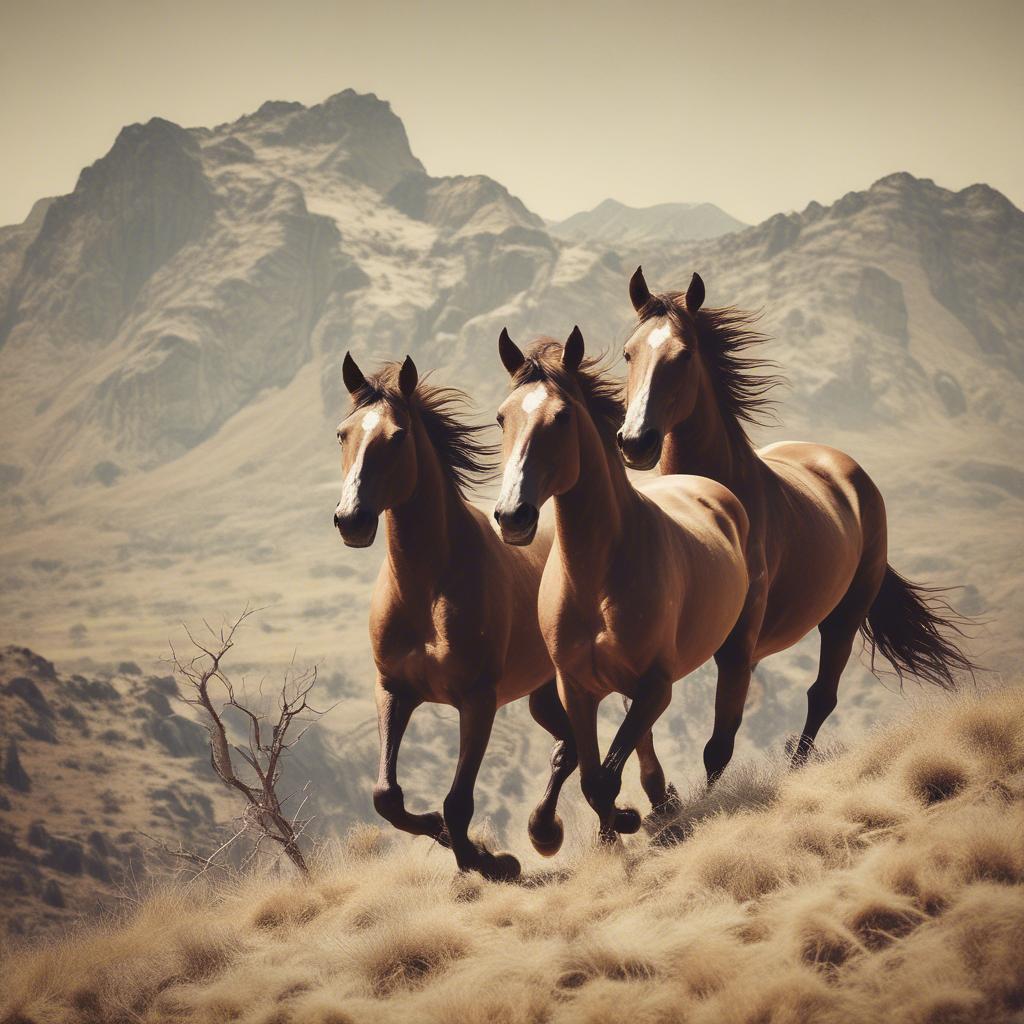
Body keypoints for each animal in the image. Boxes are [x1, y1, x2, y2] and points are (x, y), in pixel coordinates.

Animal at [333, 352, 626, 878]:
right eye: (344, 434)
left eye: (397, 436)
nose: (351, 520)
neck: (427, 591)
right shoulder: (393, 690)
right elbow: (387, 796)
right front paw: (456, 841)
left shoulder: (477, 700)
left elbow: (458, 801)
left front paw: (489, 862)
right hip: (542, 695)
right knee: (569, 747)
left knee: (576, 749)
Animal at [492, 327, 751, 840]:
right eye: (501, 418)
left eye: (563, 416)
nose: (513, 515)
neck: (596, 583)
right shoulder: (576, 690)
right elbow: (592, 776)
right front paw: (601, 831)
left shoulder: (655, 686)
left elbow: (606, 776)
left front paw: (624, 823)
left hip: (732, 648)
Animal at [617, 267, 975, 782]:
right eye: (628, 352)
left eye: (683, 355)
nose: (635, 442)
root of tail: (844, 465)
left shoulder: (737, 649)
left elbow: (717, 748)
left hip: (844, 616)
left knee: (821, 696)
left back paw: (797, 766)